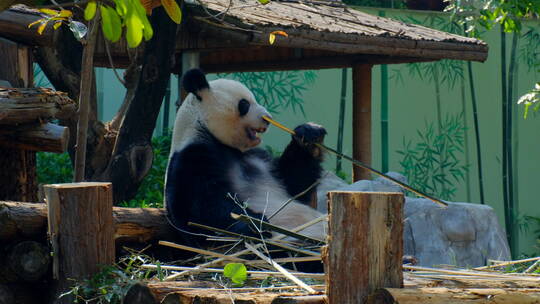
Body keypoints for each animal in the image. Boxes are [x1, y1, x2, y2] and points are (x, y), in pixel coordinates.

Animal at [163, 68, 324, 245]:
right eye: (244, 104)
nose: (268, 118)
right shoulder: (190, 156)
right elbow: (199, 208)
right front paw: (254, 222)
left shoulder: (259, 158)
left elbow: (294, 184)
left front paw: (309, 135)